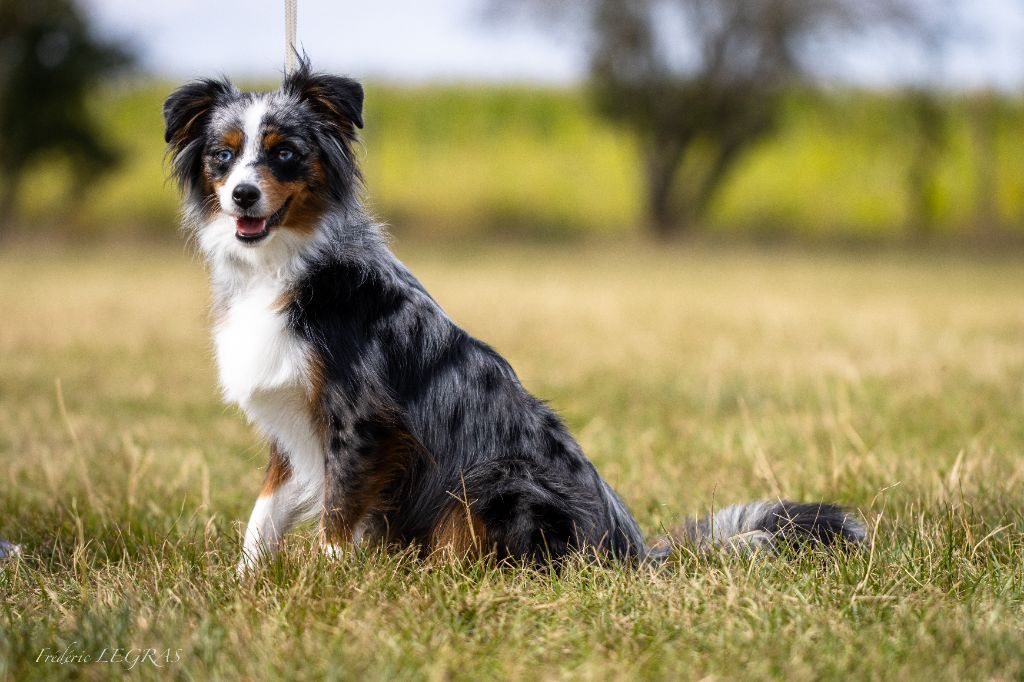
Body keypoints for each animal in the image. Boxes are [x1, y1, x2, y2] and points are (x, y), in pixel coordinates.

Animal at [163, 58, 868, 569]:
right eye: (223, 155)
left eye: (284, 152)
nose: (242, 195)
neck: (287, 264)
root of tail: (635, 554)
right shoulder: (291, 425)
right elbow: (263, 517)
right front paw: (245, 583)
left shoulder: (361, 420)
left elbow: (338, 518)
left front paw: (332, 583)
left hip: (494, 481)